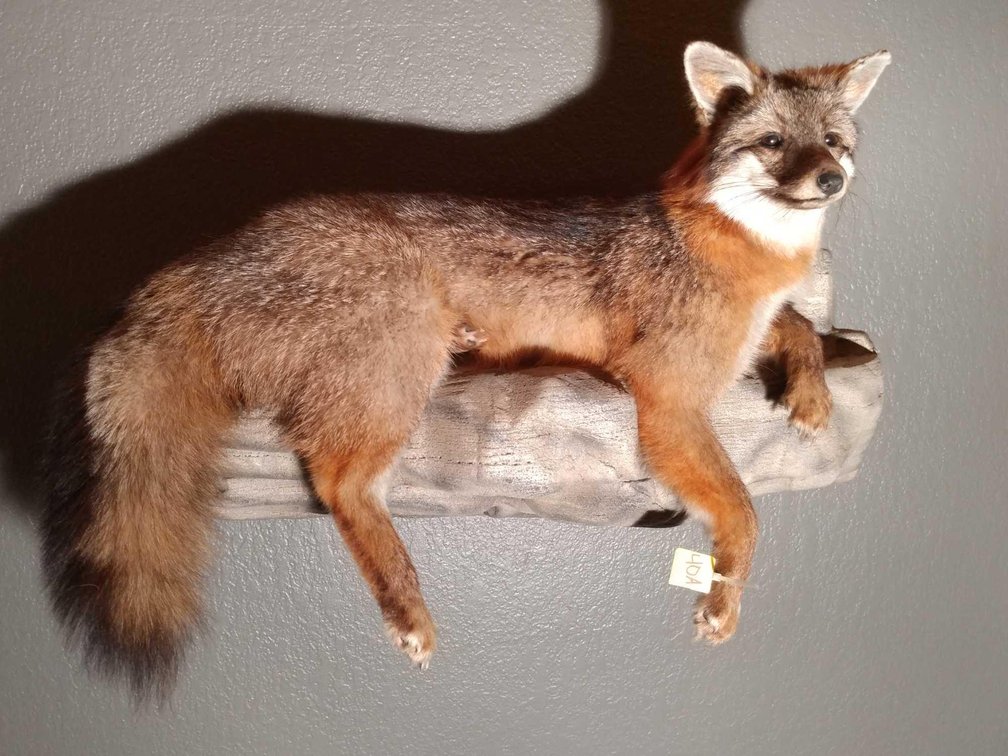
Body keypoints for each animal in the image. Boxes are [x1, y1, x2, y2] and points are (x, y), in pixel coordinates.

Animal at [41, 42, 890, 700]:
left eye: (834, 142)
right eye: (773, 143)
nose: (832, 181)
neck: (749, 256)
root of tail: (211, 256)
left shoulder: (744, 335)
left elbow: (798, 324)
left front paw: (812, 388)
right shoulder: (670, 399)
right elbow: (744, 510)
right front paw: (723, 601)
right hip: (405, 352)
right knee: (339, 478)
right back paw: (407, 611)